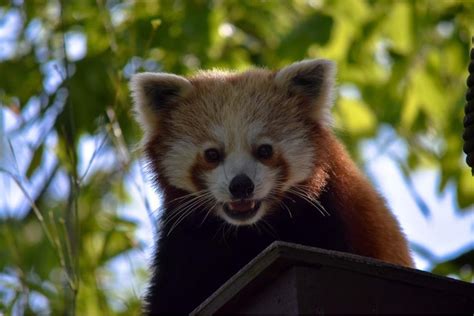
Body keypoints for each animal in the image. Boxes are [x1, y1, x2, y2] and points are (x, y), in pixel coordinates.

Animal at [131, 58, 414, 314]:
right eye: (212, 154)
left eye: (264, 150)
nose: (241, 185)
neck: (250, 230)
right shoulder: (184, 241)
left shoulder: (338, 219)